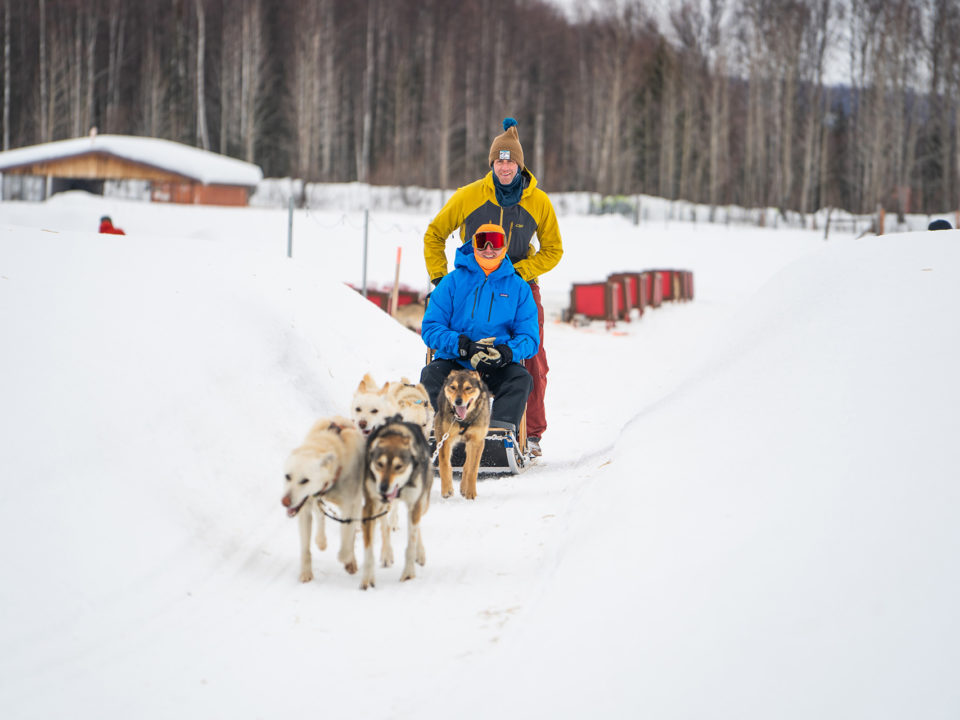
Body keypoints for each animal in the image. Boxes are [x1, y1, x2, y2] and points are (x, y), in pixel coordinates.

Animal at [281, 416, 364, 582]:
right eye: (287, 476)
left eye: (304, 480)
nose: (285, 501)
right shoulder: (305, 510)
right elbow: (305, 548)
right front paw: (306, 572)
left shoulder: (349, 507)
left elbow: (347, 538)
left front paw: (347, 558)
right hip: (315, 500)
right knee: (320, 515)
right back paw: (321, 540)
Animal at [360, 420, 433, 589]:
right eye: (379, 464)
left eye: (398, 467)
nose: (383, 487)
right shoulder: (370, 506)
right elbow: (369, 547)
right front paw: (367, 578)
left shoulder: (414, 504)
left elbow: (411, 544)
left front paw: (408, 573)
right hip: (381, 507)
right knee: (384, 526)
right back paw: (387, 553)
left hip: (422, 503)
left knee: (416, 526)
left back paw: (420, 553)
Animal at [434, 369, 491, 500]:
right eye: (453, 387)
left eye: (468, 388)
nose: (458, 401)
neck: (463, 420)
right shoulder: (444, 438)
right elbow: (444, 465)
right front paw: (447, 490)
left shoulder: (477, 441)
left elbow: (472, 469)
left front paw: (471, 493)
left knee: (467, 465)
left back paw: (464, 487)